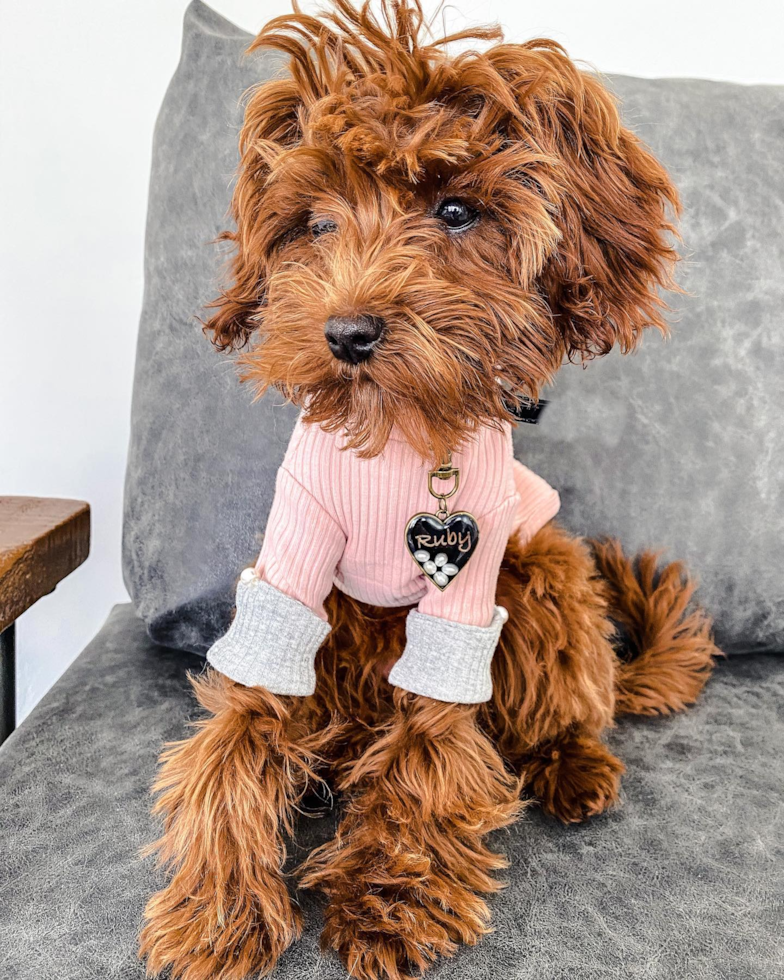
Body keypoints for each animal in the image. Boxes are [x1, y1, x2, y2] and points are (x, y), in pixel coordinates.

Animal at [139, 3, 716, 976]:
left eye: (456, 211)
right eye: (315, 222)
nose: (347, 332)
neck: (396, 439)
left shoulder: (469, 583)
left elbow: (435, 738)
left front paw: (388, 899)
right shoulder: (294, 558)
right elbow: (242, 727)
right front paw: (217, 906)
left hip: (544, 573)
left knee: (571, 703)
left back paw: (575, 768)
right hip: (349, 625)